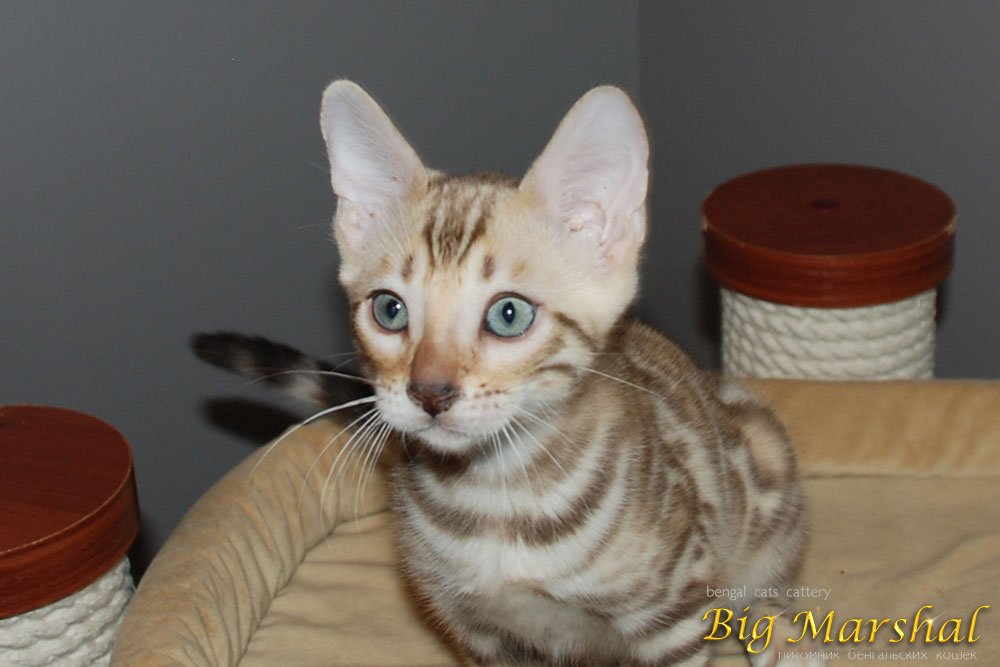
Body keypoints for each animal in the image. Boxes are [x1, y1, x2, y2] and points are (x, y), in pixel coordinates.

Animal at [195, 81, 815, 666]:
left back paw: (782, 633)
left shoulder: (676, 612)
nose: (429, 391)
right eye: (389, 310)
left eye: (508, 314)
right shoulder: (479, 632)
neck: (497, 499)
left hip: (763, 466)